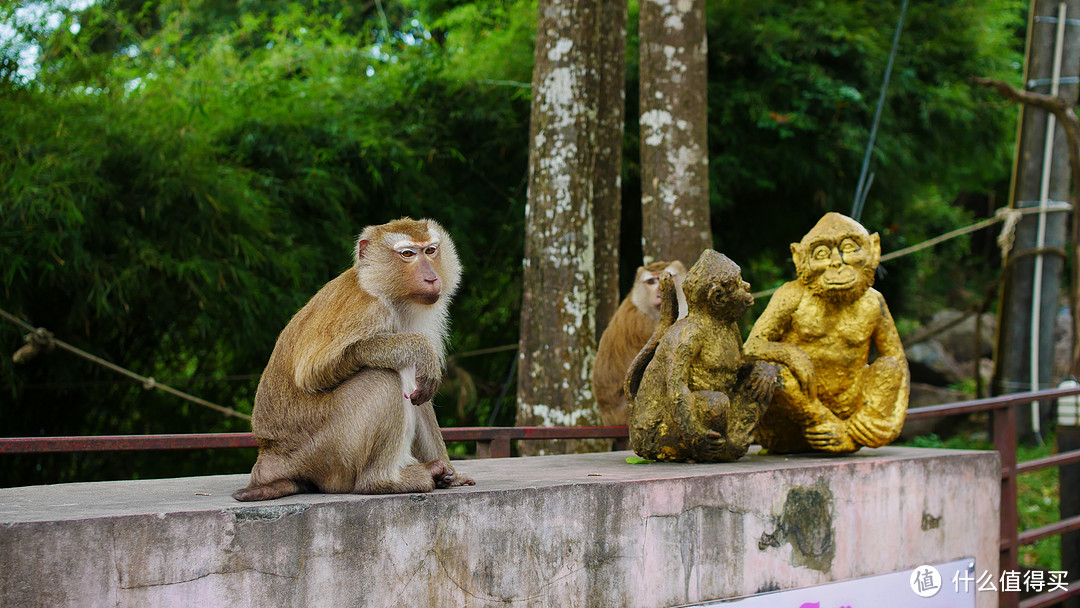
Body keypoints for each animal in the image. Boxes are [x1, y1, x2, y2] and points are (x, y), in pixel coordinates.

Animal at [232, 215, 473, 501]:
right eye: (407, 254)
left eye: (431, 250)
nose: (430, 277)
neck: (386, 293)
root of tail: (268, 457)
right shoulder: (366, 309)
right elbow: (312, 372)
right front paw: (419, 347)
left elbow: (421, 388)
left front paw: (452, 476)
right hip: (325, 451)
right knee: (383, 377)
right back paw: (383, 481)